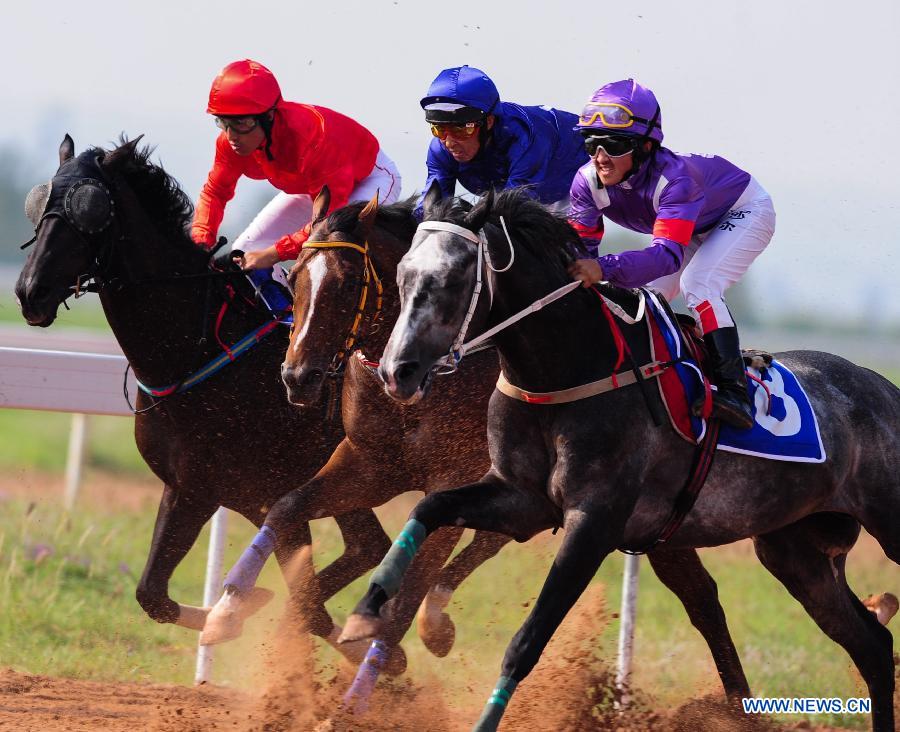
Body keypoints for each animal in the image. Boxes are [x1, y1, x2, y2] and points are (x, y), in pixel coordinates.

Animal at [13, 133, 394, 664]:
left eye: (90, 211)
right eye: (39, 204)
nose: (30, 292)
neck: (197, 352)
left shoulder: (269, 492)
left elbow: (306, 600)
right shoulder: (193, 489)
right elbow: (151, 593)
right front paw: (234, 613)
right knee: (367, 545)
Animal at [342, 189, 896, 732]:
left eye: (452, 278)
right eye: (402, 275)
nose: (396, 371)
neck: (567, 372)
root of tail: (883, 388)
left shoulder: (595, 522)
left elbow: (527, 642)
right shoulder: (521, 500)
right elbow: (429, 507)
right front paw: (365, 611)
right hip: (794, 552)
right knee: (872, 645)